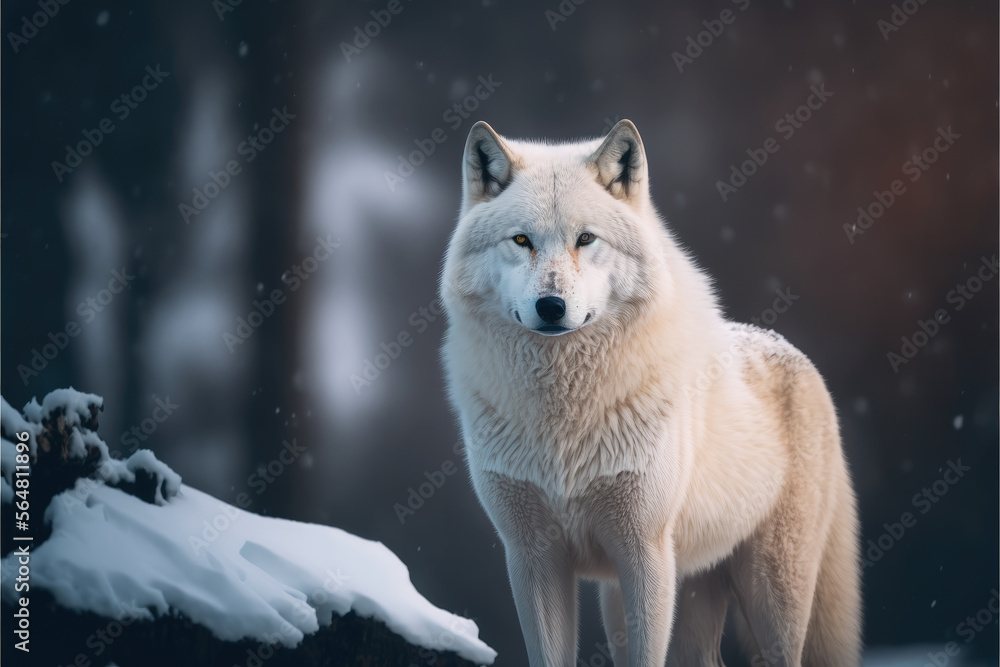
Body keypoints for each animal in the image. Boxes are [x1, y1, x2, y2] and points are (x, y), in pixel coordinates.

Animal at [440, 119, 861, 667]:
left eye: (585, 239)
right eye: (521, 240)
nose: (551, 306)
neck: (564, 418)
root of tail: (796, 355)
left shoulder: (644, 552)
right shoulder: (533, 557)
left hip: (772, 597)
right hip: (665, 600)